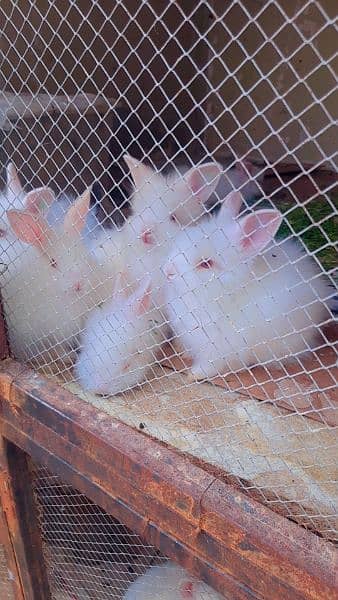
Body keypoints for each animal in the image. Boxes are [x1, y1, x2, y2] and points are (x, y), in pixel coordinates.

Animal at [164, 192, 332, 380]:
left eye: (206, 264)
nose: (167, 270)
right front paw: (183, 353)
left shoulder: (220, 347)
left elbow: (211, 365)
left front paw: (193, 375)